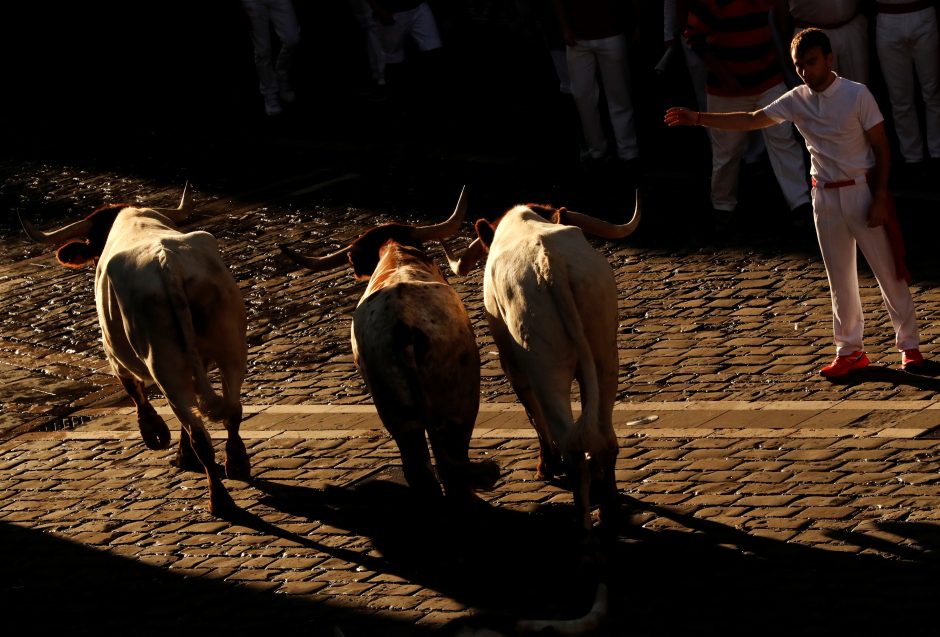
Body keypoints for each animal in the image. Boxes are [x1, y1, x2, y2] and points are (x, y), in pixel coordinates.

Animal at [20, 184, 248, 516]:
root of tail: (168, 266)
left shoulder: (113, 354)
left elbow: (136, 393)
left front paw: (155, 434)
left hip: (164, 363)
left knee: (199, 433)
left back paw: (218, 500)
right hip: (232, 347)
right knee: (230, 411)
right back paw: (237, 463)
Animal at [280, 189, 500, 502]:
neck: (396, 253)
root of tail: (402, 327)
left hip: (394, 410)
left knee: (419, 466)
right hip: (460, 397)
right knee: (451, 456)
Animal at [442, 195, 640, 532]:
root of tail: (551, 264)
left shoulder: (513, 367)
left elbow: (532, 413)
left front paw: (546, 465)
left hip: (545, 369)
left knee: (570, 442)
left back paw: (582, 522)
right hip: (605, 357)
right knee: (604, 436)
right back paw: (609, 510)